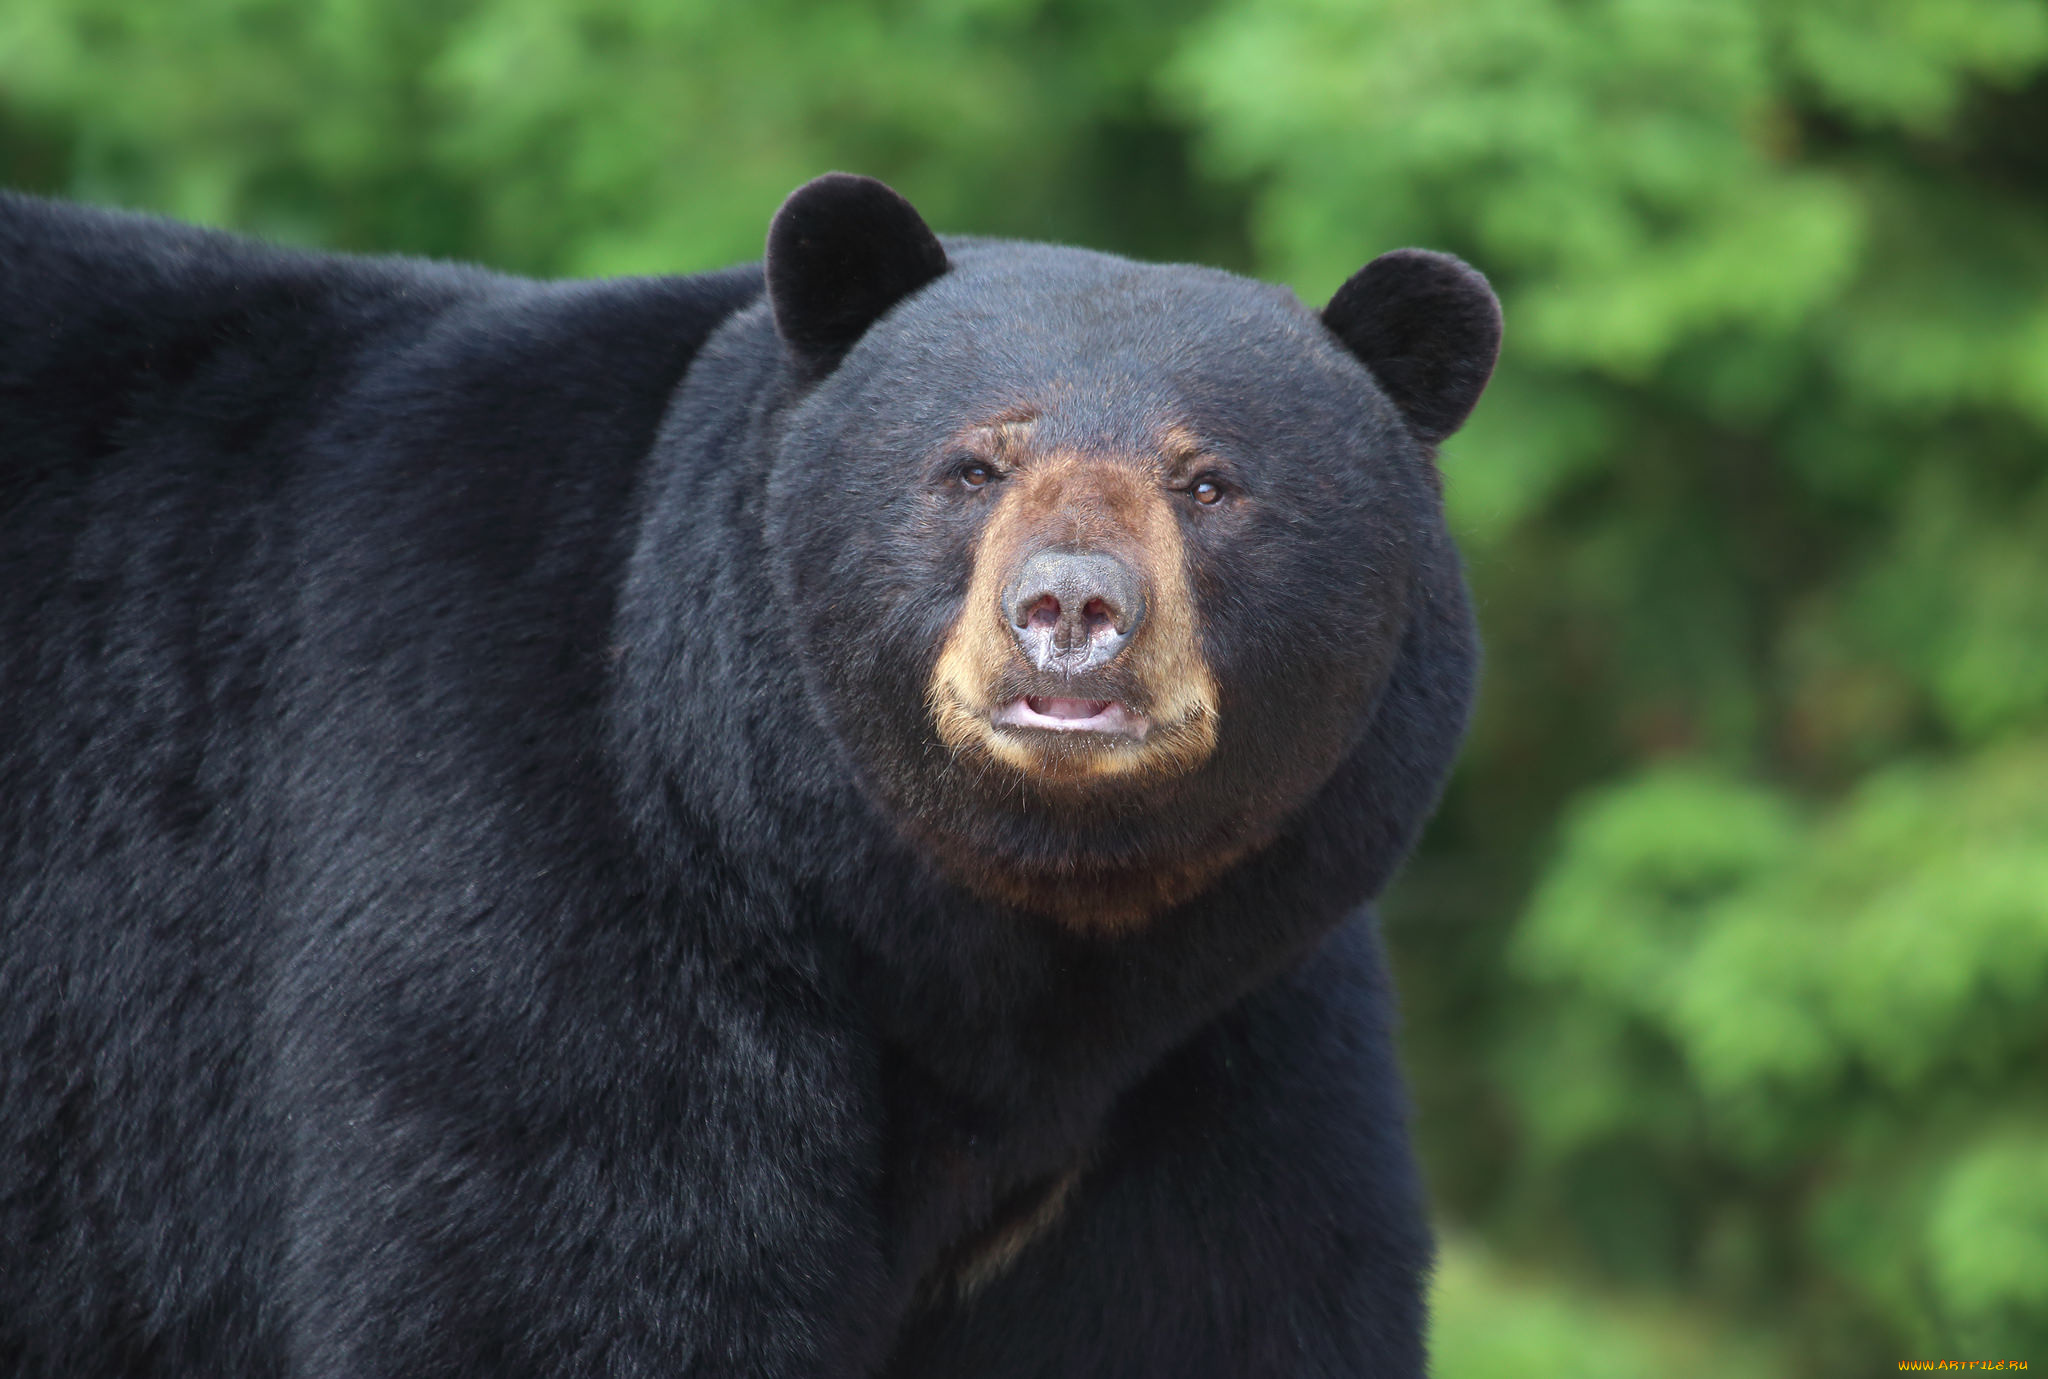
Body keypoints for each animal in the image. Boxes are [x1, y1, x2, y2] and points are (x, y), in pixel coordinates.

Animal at [0, 175, 1507, 1376]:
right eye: (973, 463)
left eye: (1209, 482)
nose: (1071, 608)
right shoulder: (536, 879)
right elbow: (560, 1276)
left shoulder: (1231, 1040)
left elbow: (1229, 1299)